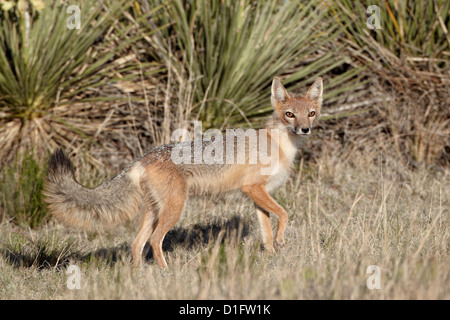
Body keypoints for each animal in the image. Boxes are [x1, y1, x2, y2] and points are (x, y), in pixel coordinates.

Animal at [44, 76, 322, 268]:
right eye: (289, 115)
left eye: (310, 113)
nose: (305, 129)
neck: (279, 144)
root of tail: (144, 157)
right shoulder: (253, 188)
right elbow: (284, 214)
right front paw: (282, 241)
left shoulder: (257, 195)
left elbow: (266, 233)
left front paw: (273, 257)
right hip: (174, 209)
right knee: (154, 241)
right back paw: (166, 272)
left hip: (156, 212)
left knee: (137, 243)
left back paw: (139, 276)